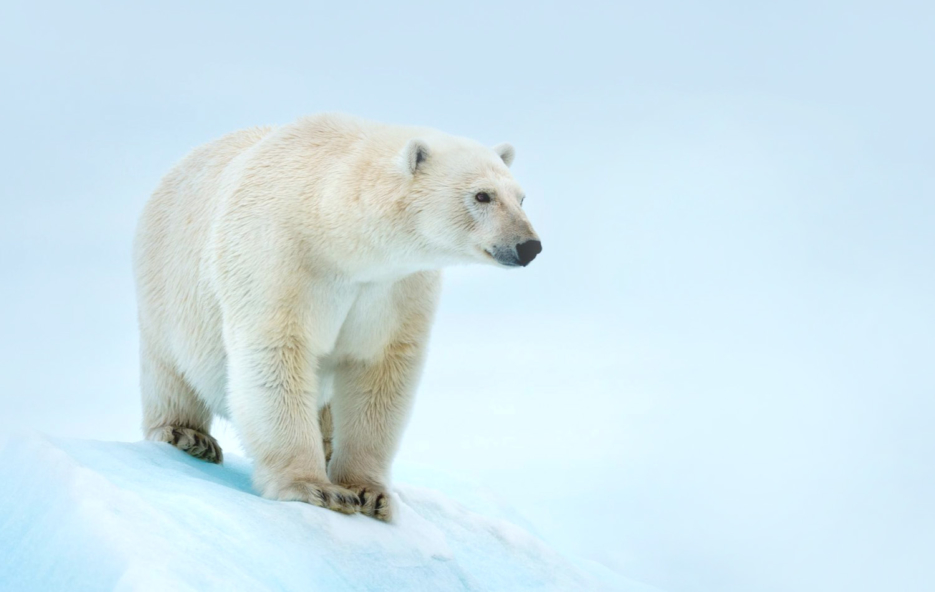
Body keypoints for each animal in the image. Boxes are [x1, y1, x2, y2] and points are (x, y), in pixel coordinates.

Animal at [133, 111, 540, 520]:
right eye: (482, 195)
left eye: (521, 198)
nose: (529, 246)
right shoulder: (277, 256)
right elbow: (276, 355)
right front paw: (314, 488)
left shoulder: (393, 287)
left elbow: (380, 371)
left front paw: (369, 493)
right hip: (167, 285)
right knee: (169, 370)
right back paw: (188, 435)